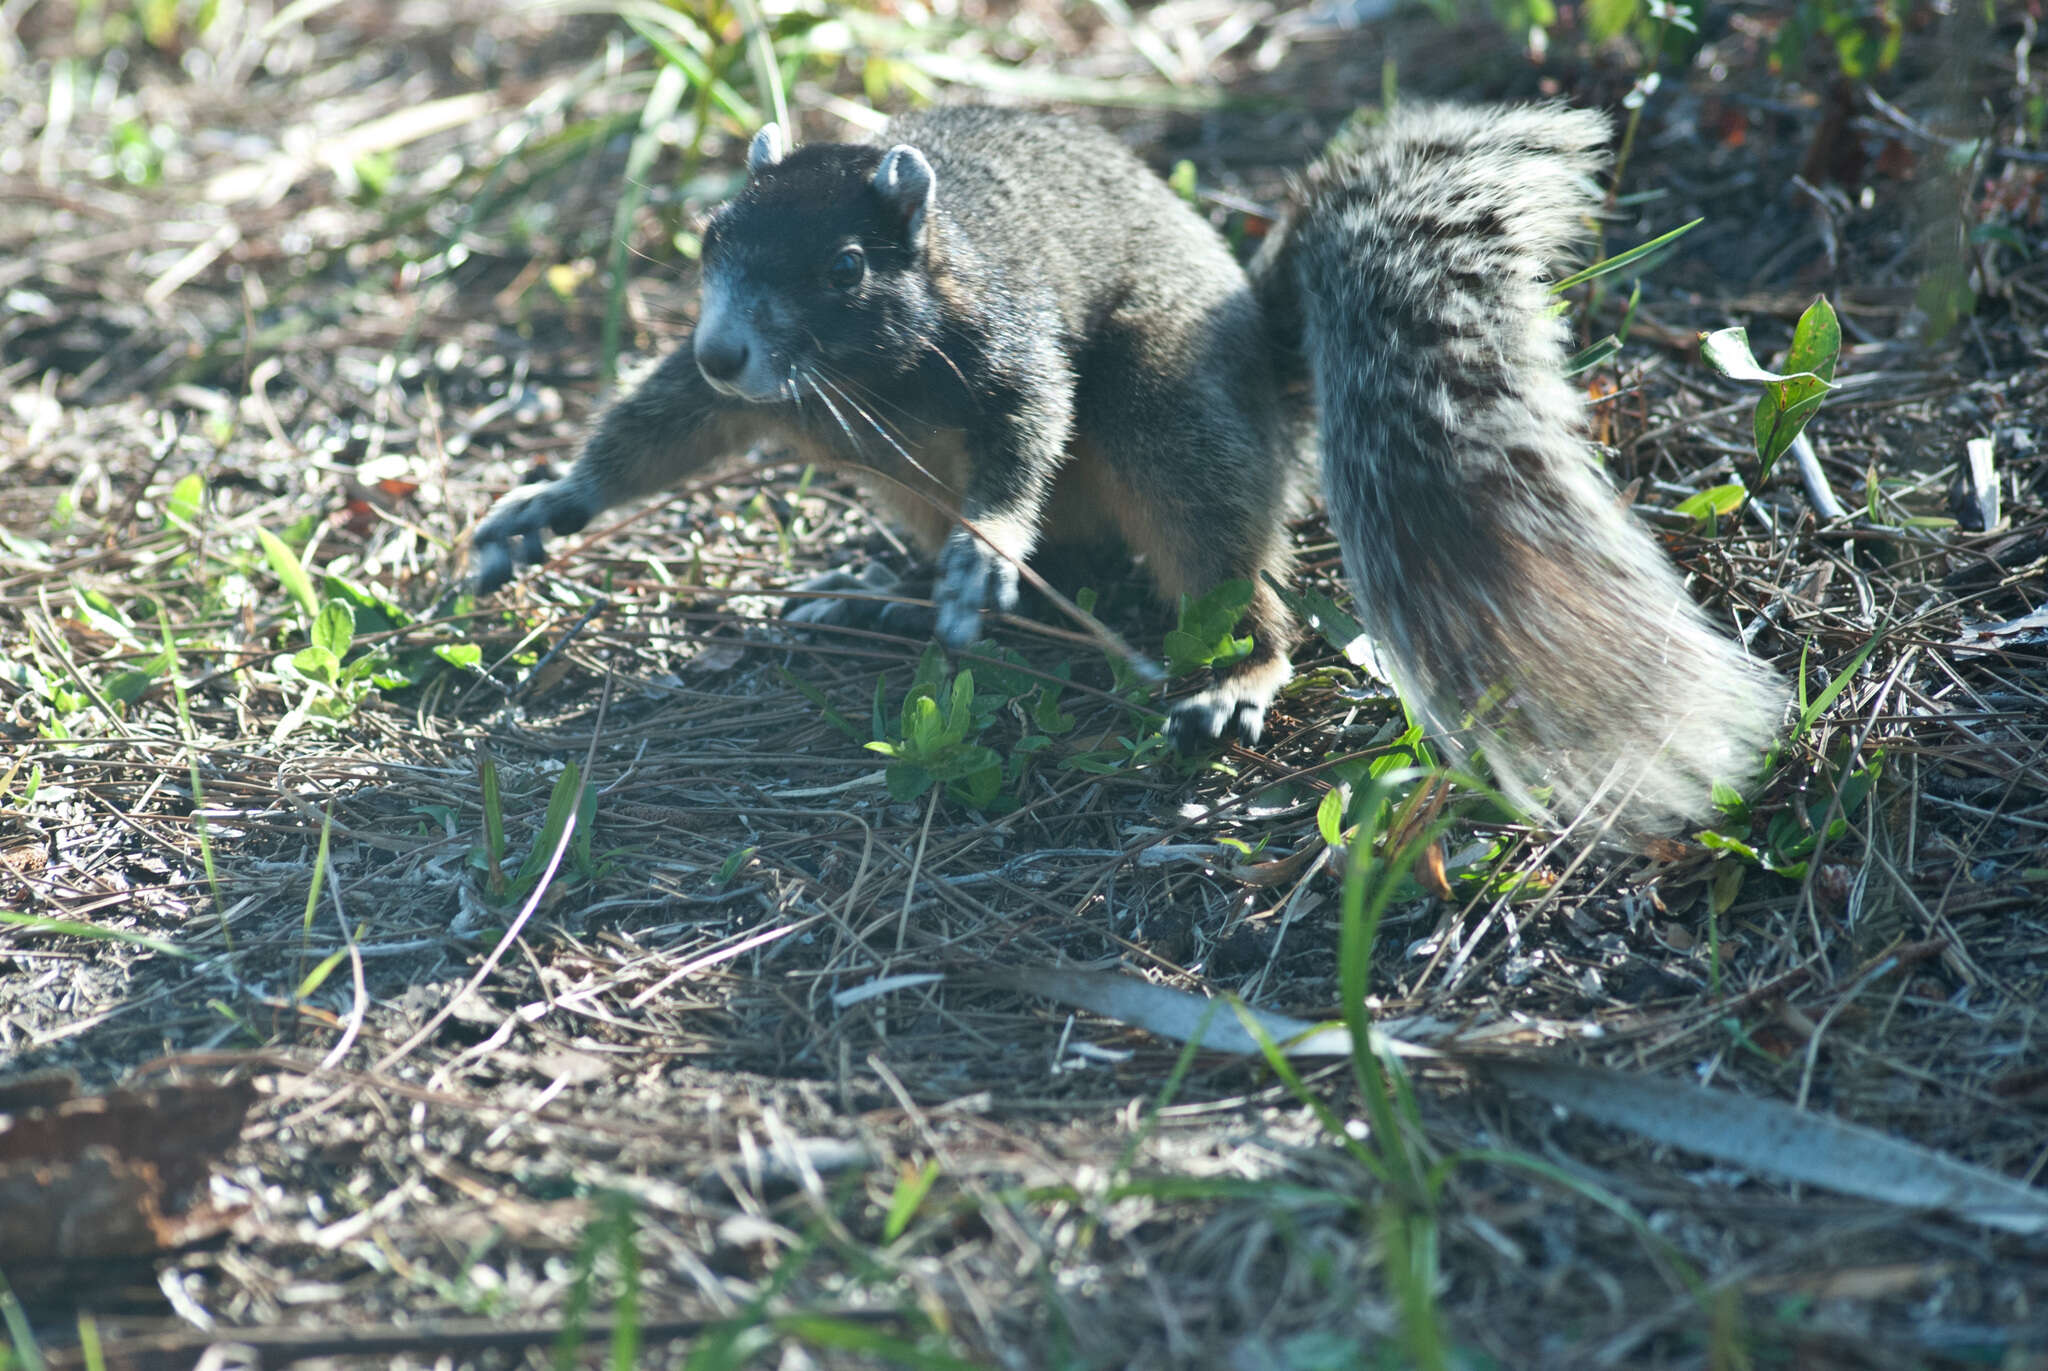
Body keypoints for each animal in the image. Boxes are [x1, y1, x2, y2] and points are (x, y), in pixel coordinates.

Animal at [471, 101, 1785, 827]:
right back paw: (881, 598)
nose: (726, 347)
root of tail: (1271, 393)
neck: (853, 384)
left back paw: (1230, 672)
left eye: (844, 268)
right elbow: (661, 428)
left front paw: (988, 549)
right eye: (709, 240)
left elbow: (1024, 441)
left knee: (1225, 575)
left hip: (1171, 420)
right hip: (912, 493)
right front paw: (548, 505)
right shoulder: (730, 399)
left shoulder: (1011, 350)